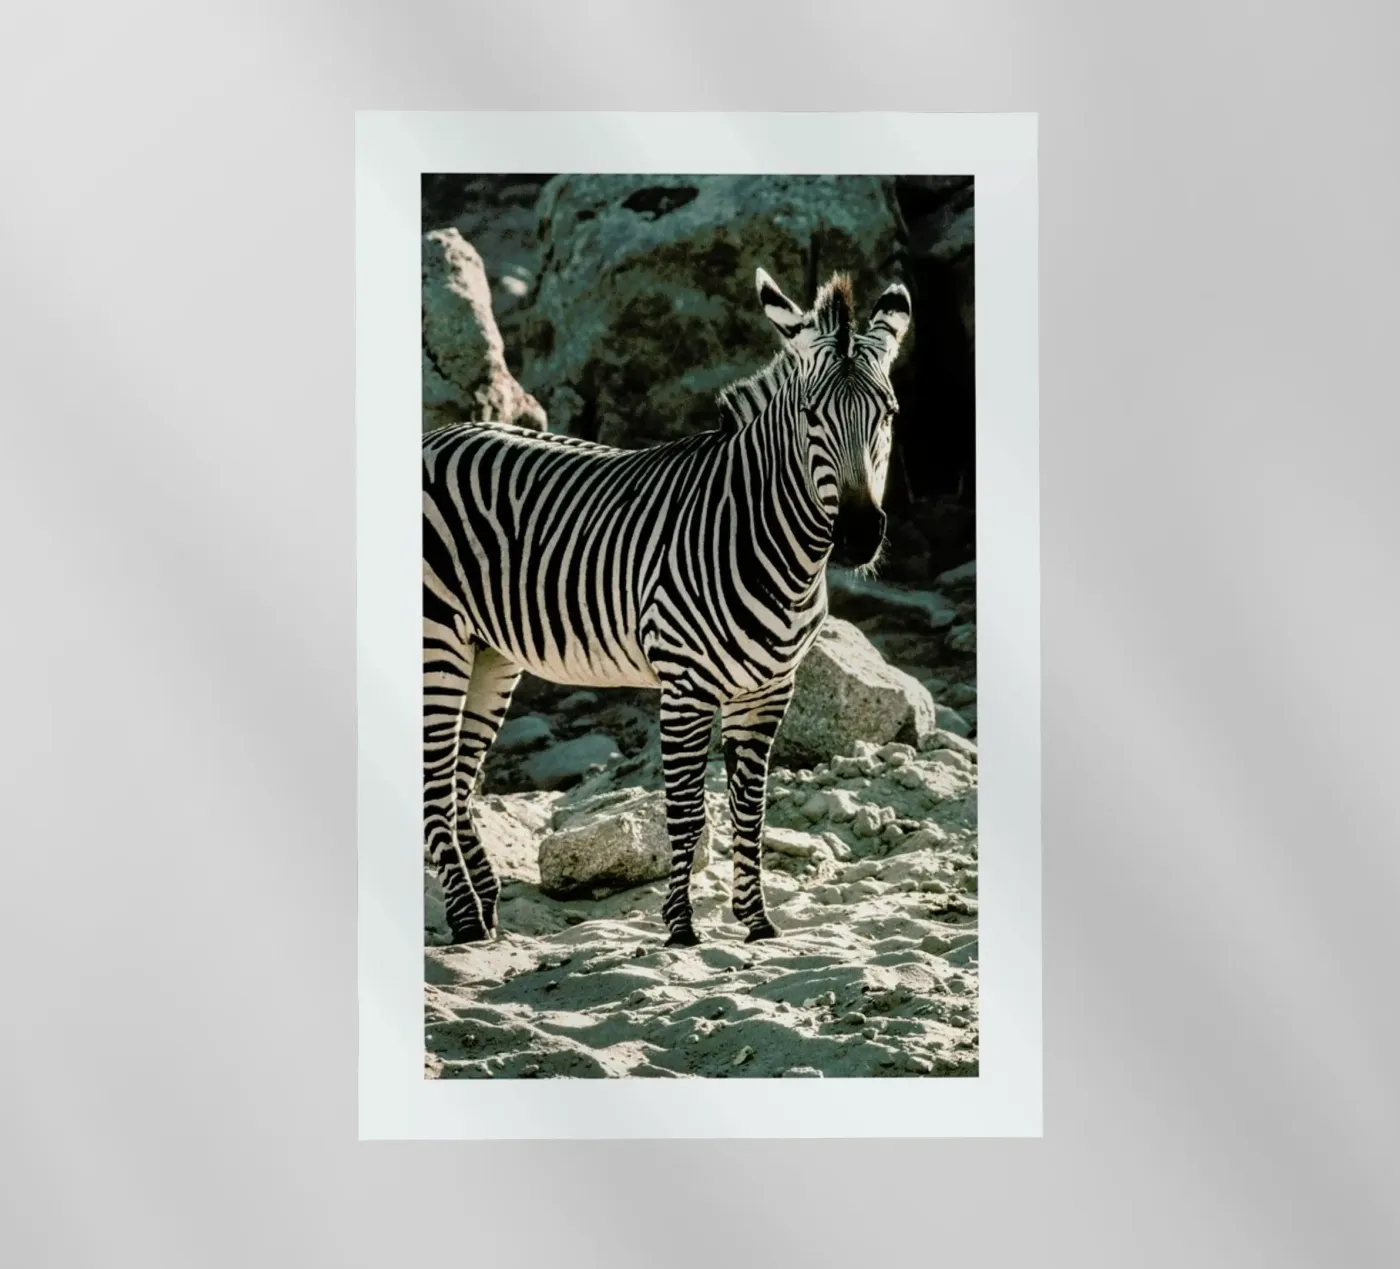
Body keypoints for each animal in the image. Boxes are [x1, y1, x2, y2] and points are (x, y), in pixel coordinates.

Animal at [423, 266, 912, 946]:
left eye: (888, 413)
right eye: (810, 414)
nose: (861, 535)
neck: (766, 538)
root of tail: (436, 435)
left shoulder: (771, 690)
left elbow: (751, 809)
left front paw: (757, 921)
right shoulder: (686, 684)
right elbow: (686, 810)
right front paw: (681, 926)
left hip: (489, 652)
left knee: (459, 780)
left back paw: (484, 910)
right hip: (436, 637)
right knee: (434, 782)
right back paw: (467, 922)